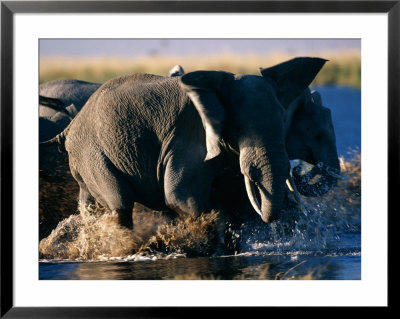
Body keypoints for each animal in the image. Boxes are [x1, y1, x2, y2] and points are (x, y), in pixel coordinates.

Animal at [40, 57, 326, 230]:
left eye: (284, 123)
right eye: (237, 127)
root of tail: (69, 128)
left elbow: (232, 198)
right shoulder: (188, 137)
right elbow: (181, 197)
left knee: (91, 204)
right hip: (92, 154)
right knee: (119, 203)